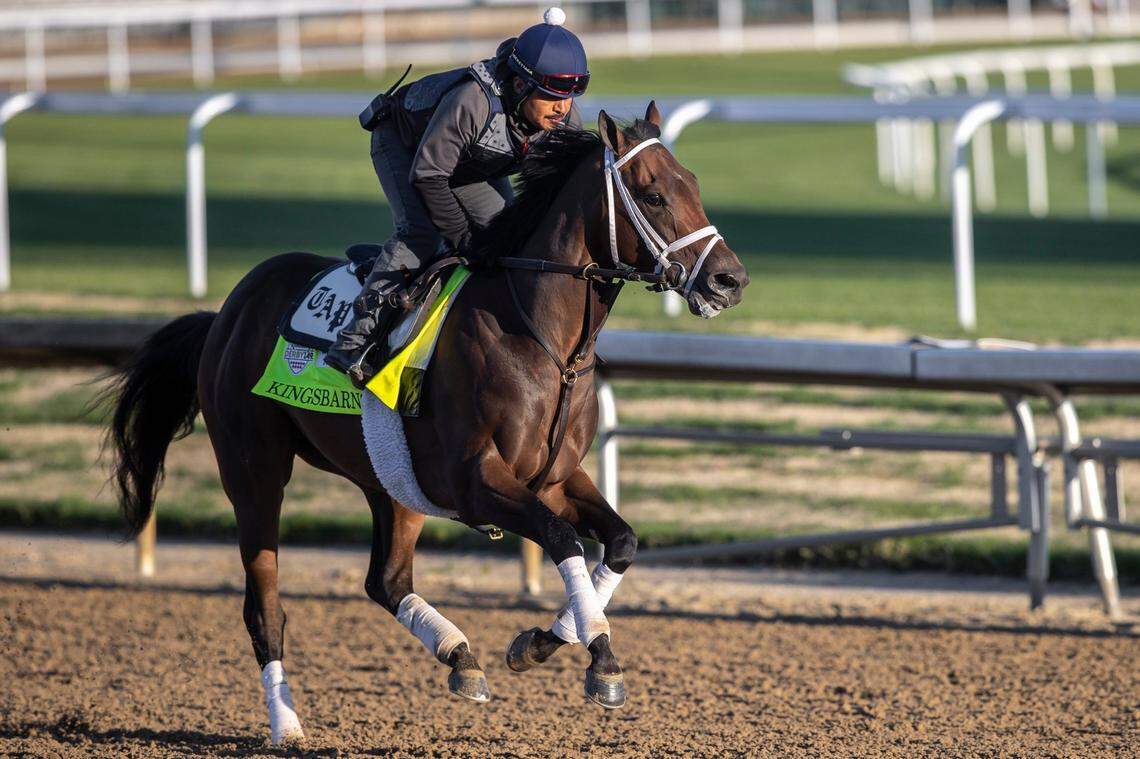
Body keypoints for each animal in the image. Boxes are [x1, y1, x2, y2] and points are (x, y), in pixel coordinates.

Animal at [103, 102, 748, 745]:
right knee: (265, 605)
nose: (730, 280)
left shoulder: (556, 478)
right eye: (653, 194)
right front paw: (602, 659)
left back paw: (460, 656)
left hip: (391, 481)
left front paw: (542, 643)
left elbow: (621, 542)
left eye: (693, 183)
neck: (540, 338)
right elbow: (563, 538)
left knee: (385, 580)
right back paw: (286, 725)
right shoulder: (476, 481)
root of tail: (225, 313)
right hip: (253, 470)